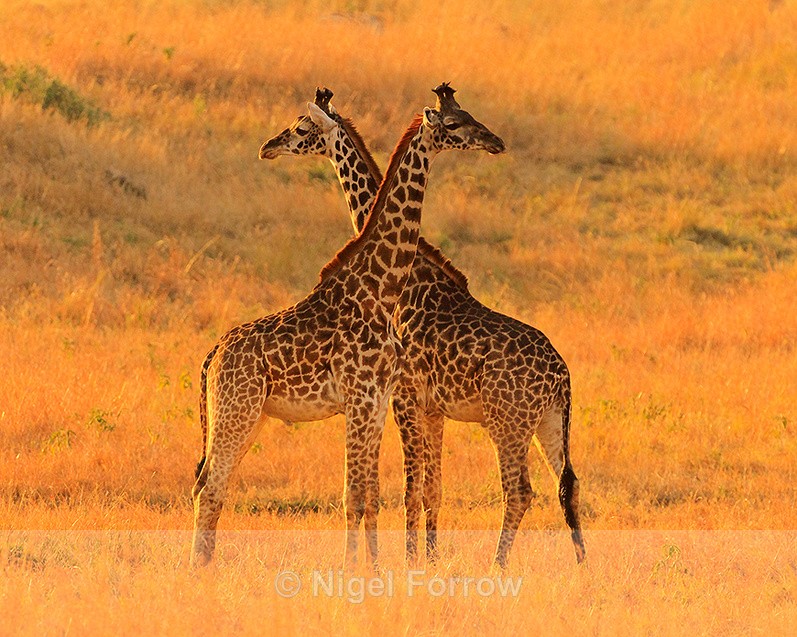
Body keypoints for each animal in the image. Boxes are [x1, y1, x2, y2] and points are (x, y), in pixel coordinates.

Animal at [191, 84, 505, 568]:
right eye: (453, 124)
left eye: (469, 116)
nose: (495, 141)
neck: (382, 289)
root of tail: (212, 357)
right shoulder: (364, 400)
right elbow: (355, 496)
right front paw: (352, 569)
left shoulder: (377, 402)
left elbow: (371, 495)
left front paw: (375, 569)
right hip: (236, 411)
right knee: (208, 488)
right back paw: (197, 570)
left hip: (249, 415)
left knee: (211, 486)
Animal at [259, 85, 586, 568]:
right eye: (456, 118)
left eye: (301, 129)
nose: (269, 146)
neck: (408, 276)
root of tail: (561, 376)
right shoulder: (431, 407)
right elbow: (433, 489)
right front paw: (428, 561)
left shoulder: (405, 395)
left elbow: (411, 489)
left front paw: (412, 561)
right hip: (548, 421)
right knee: (569, 486)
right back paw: (583, 568)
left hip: (506, 421)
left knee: (520, 491)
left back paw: (498, 565)